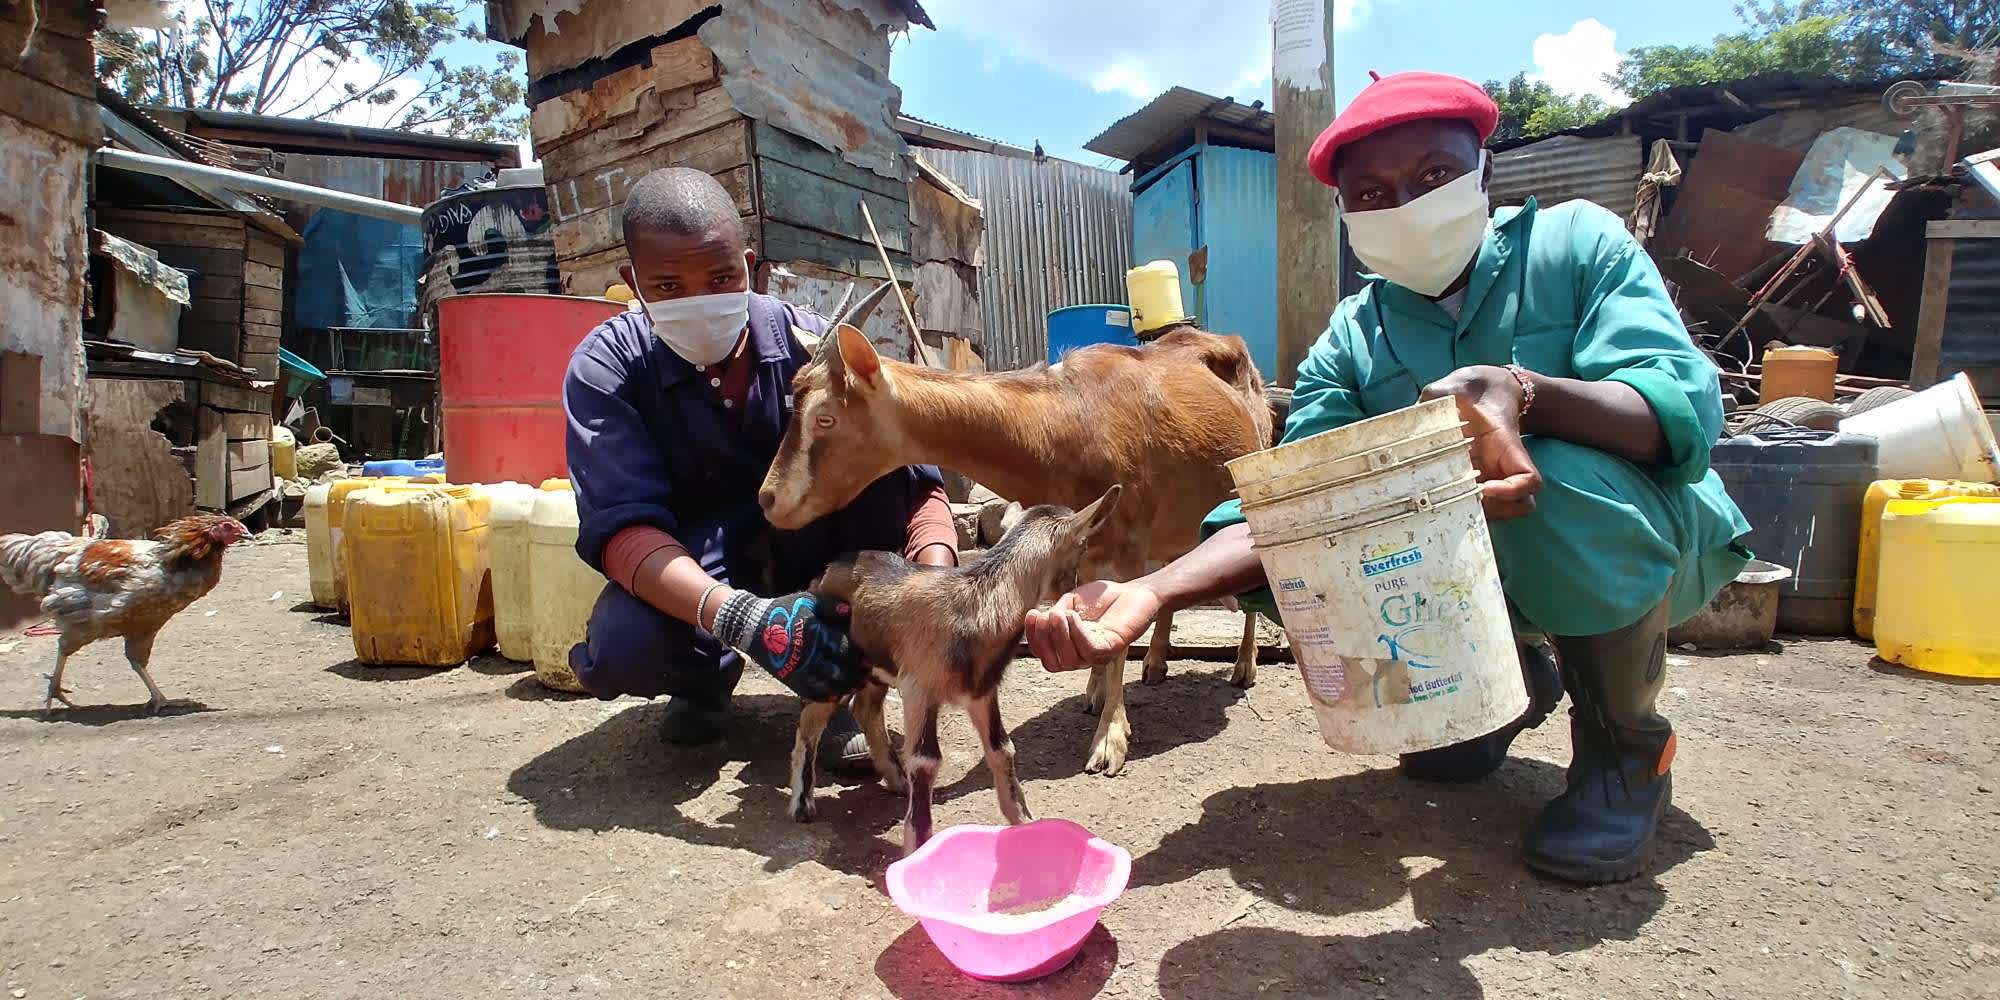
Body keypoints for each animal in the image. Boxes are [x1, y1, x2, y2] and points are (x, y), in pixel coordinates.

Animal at [756, 318, 1272, 772]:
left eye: (825, 418)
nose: (768, 499)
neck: (1062, 420)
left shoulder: (1123, 547)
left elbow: (1115, 636)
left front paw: (1109, 742)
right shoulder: (1088, 543)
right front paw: (1094, 691)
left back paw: (1243, 665)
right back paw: (1158, 660)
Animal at [792, 486, 1128, 852]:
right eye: (1082, 546)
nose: (1077, 588)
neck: (974, 602)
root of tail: (825, 571)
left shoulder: (982, 690)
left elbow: (1002, 748)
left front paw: (1024, 823)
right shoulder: (919, 689)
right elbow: (926, 760)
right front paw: (919, 848)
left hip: (874, 667)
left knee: (866, 708)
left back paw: (898, 781)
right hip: (833, 664)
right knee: (810, 722)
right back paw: (803, 804)